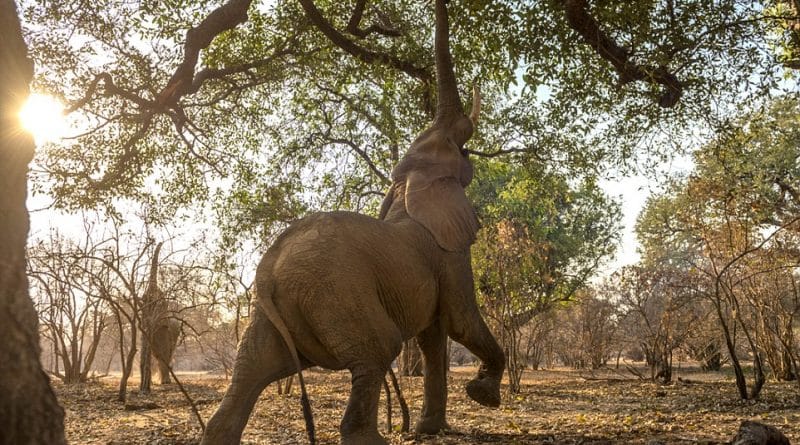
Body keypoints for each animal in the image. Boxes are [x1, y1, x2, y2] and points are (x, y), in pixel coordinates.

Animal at [200, 1, 504, 442]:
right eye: (457, 144)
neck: (408, 188)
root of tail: (267, 269)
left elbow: (433, 339)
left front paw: (429, 430)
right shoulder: (448, 253)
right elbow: (460, 323)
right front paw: (483, 396)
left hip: (279, 312)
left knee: (251, 371)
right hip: (335, 293)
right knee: (379, 349)